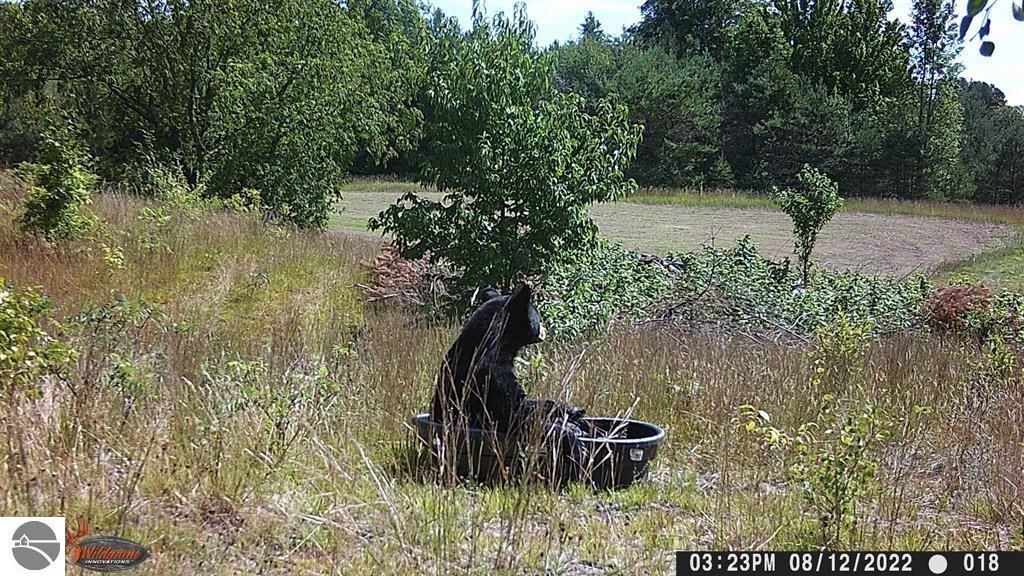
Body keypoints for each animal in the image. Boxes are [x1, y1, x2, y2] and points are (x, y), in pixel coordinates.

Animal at [430, 285, 588, 482]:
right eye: (538, 316)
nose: (544, 328)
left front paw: (572, 411)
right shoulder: (492, 374)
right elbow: (515, 412)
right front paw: (573, 439)